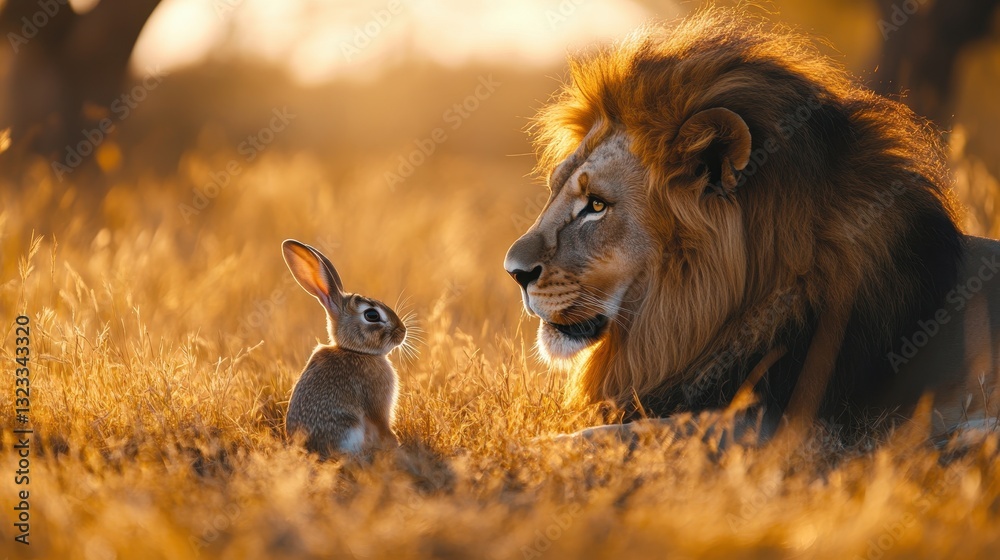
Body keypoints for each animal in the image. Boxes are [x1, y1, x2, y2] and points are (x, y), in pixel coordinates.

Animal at [280, 239, 406, 457]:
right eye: (372, 315)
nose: (403, 331)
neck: (354, 351)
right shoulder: (377, 403)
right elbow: (383, 426)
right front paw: (397, 445)